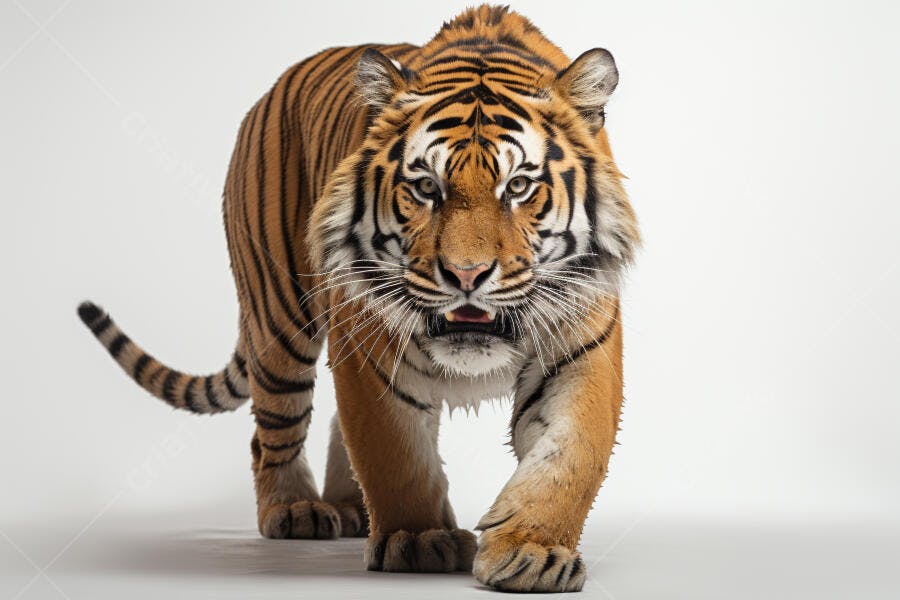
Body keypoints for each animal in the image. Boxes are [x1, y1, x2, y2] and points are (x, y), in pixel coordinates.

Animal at [77, 5, 639, 593]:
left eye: (519, 187)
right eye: (426, 188)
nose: (466, 274)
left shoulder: (582, 349)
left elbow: (571, 454)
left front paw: (533, 552)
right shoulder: (371, 351)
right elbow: (394, 452)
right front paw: (419, 539)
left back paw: (350, 508)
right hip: (280, 322)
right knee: (274, 427)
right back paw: (295, 509)